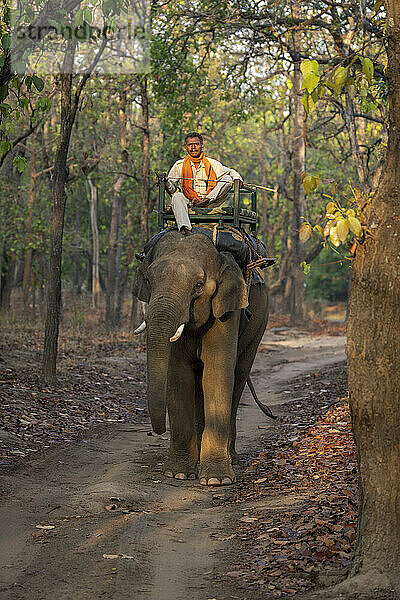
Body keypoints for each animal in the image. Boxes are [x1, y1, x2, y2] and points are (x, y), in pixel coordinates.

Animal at [134, 230, 268, 488]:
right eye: (149, 281)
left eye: (198, 285)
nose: (156, 431)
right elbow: (179, 377)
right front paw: (177, 474)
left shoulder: (227, 312)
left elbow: (217, 373)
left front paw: (216, 480)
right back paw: (197, 457)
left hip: (259, 325)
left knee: (238, 377)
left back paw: (232, 458)